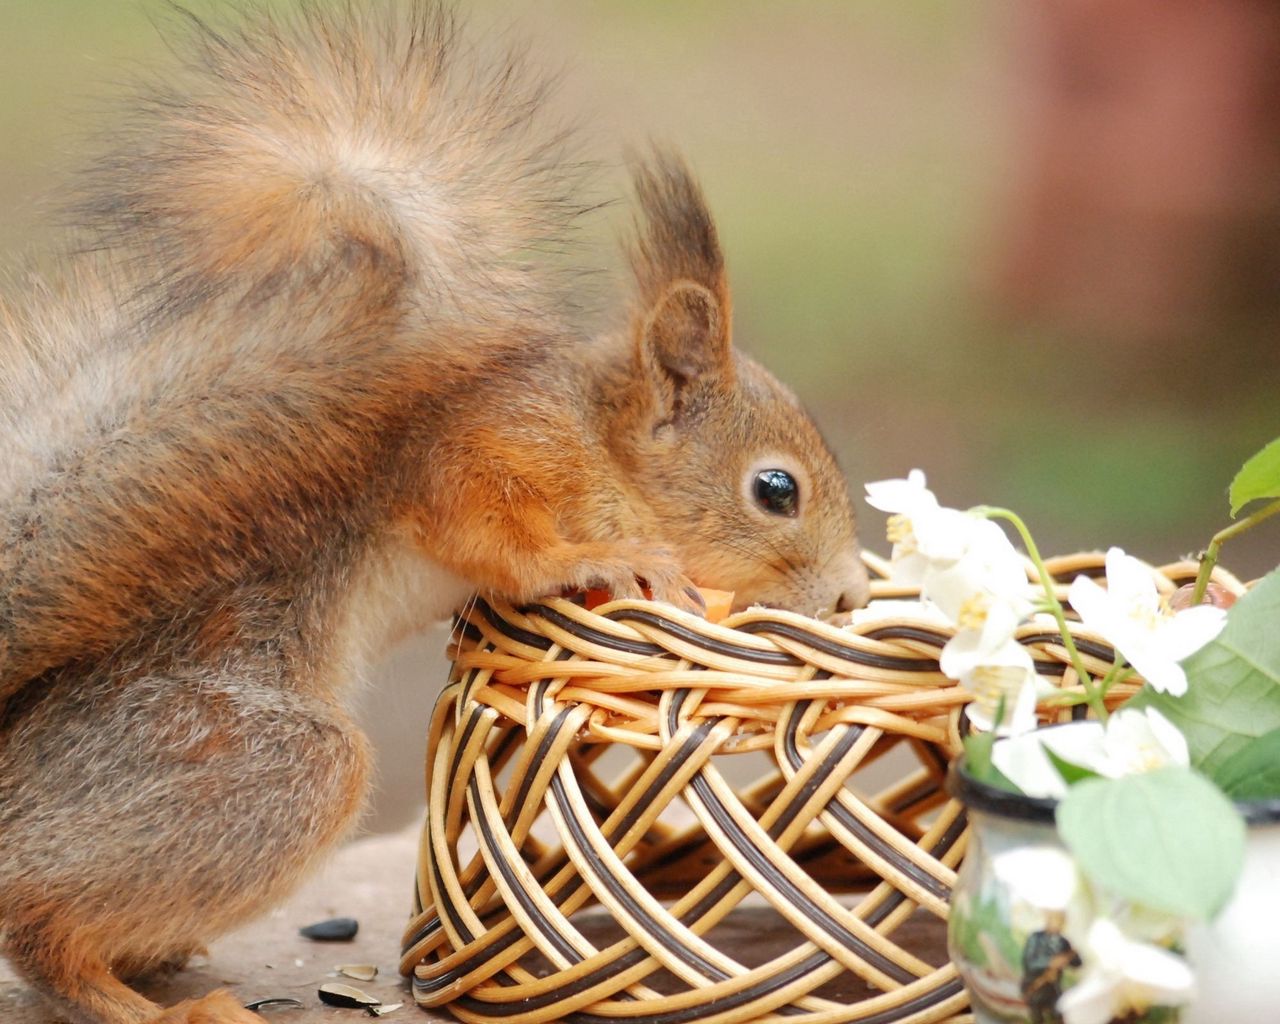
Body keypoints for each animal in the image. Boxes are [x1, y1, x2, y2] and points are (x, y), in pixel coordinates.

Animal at [0, 4, 870, 1018]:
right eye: (776, 490)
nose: (851, 595)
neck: (600, 438)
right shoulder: (486, 446)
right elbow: (481, 525)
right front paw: (595, 564)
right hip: (253, 763)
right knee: (40, 926)